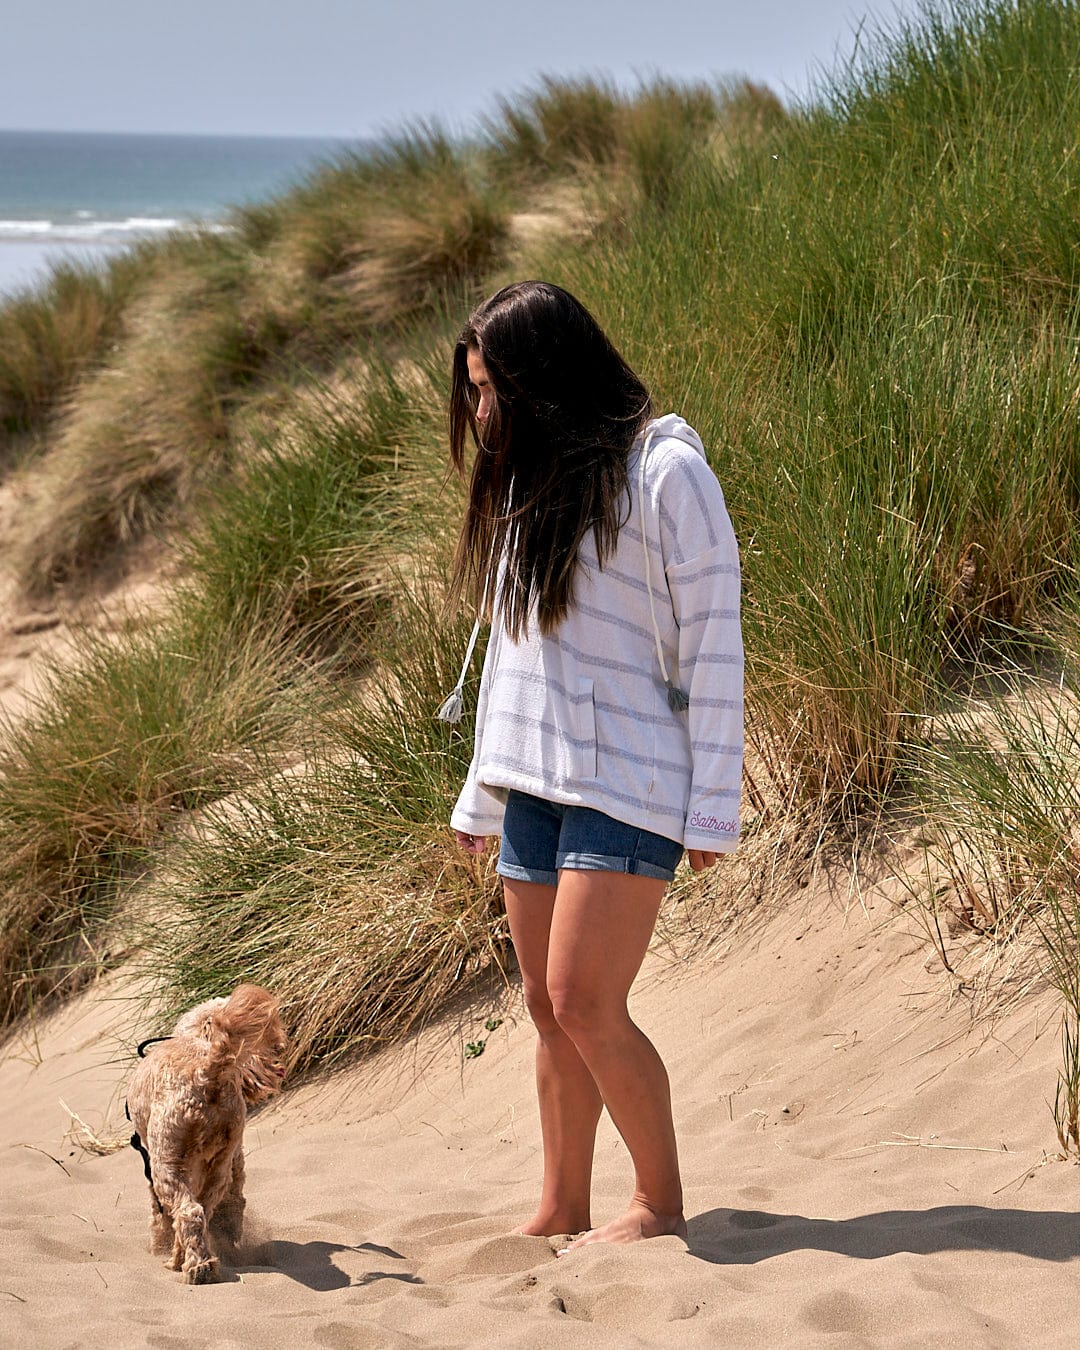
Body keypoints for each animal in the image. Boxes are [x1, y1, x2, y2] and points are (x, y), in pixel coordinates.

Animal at [127, 982, 286, 1285]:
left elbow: (160, 1217)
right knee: (202, 1210)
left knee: (186, 1212)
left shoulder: (153, 1171)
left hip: (166, 1163)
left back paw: (193, 1267)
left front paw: (158, 1246)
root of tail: (206, 1072)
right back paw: (194, 1261)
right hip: (219, 1167)